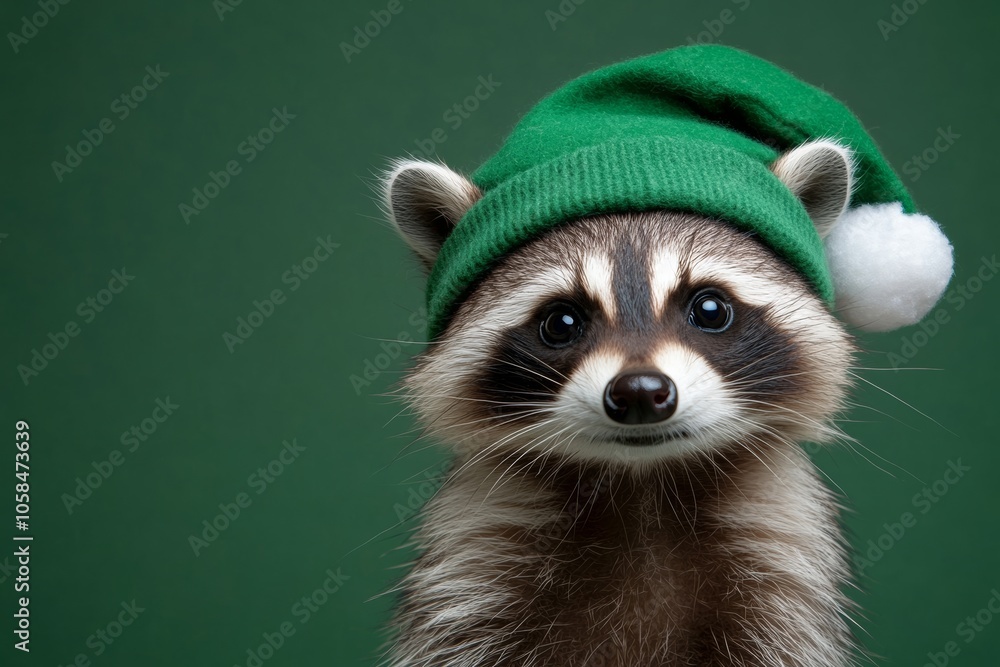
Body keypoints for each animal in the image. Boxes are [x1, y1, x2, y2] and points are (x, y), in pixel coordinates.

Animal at [378, 141, 864, 667]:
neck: (642, 485)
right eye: (561, 322)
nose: (640, 392)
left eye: (710, 309)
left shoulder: (779, 554)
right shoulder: (476, 555)